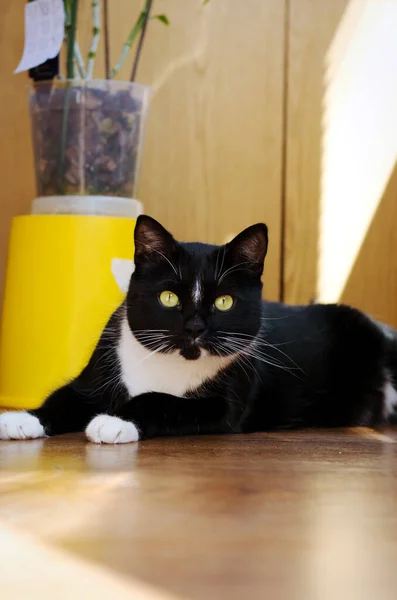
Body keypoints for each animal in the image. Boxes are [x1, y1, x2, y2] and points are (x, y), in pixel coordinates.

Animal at [0, 213, 396, 442]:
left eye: (224, 302)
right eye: (169, 297)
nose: (194, 326)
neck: (171, 363)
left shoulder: (222, 406)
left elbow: (159, 399)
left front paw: (113, 421)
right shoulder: (95, 376)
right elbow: (63, 396)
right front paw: (21, 420)